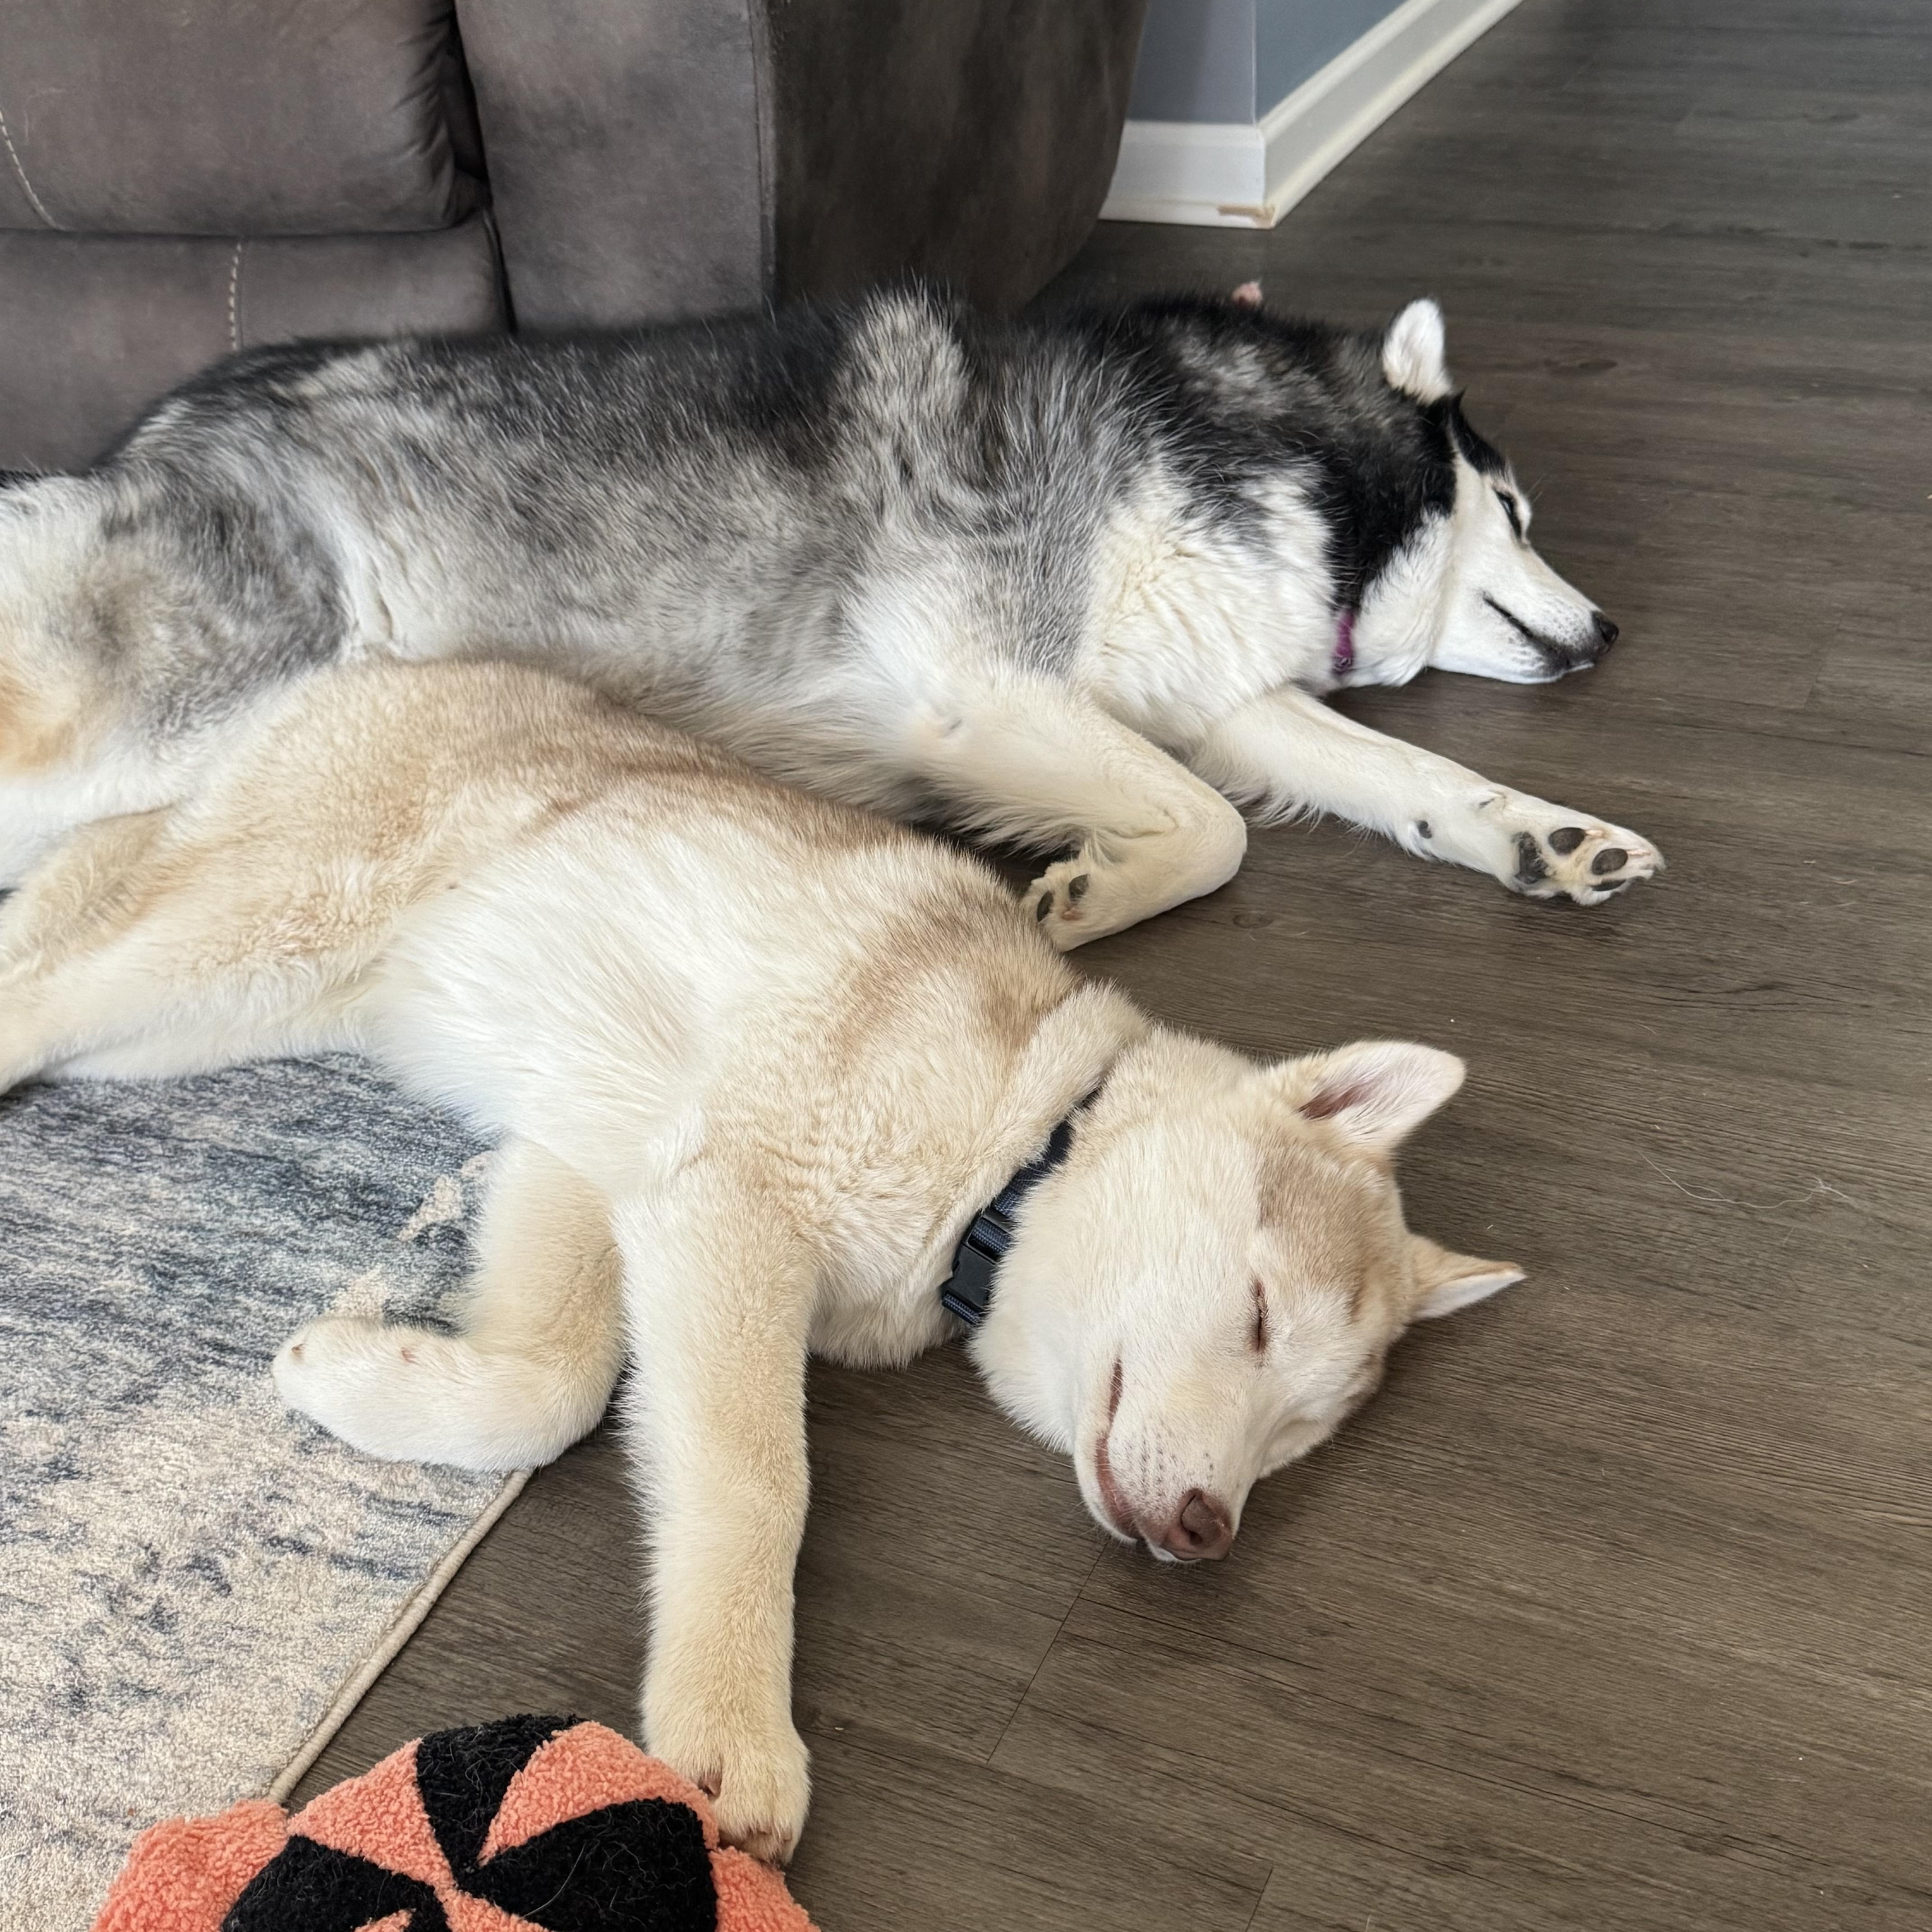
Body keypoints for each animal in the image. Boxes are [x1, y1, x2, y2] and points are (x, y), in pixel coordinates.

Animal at [0, 284, 1658, 939]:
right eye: (1517, 513)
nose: (1611, 633)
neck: (1251, 445)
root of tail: (159, 421)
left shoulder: (1217, 694)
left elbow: (1413, 777)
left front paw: (1547, 836)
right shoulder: (980, 689)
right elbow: (1206, 827)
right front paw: (1094, 888)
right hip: (199, 696)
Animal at [0, 660, 1522, 1861]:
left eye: (1297, 1440)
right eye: (1260, 1316)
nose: (1209, 1528)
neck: (1012, 1142)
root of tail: (366, 668)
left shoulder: (599, 1166)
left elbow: (550, 1385)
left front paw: (355, 1378)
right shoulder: (729, 1214)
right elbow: (754, 1482)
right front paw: (733, 1727)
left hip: (222, 1011)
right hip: (244, 937)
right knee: (36, 991)